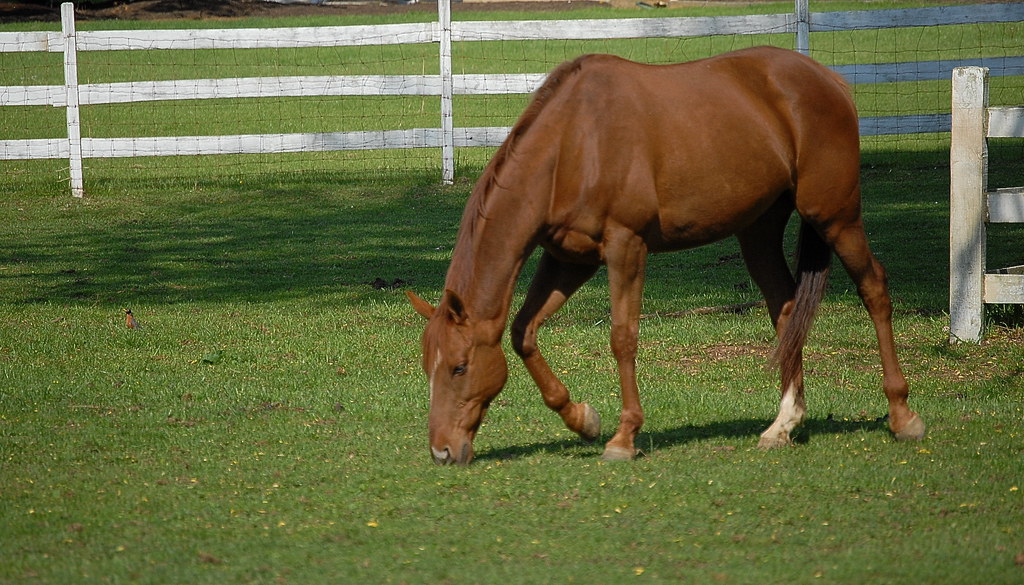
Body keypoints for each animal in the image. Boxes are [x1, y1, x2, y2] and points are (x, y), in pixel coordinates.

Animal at [407, 46, 926, 465]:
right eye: (428, 367)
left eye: (459, 367)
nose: (441, 451)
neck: (574, 143)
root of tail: (829, 79)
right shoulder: (570, 259)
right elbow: (522, 332)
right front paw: (582, 418)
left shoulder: (626, 247)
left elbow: (622, 338)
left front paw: (623, 437)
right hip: (758, 232)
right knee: (786, 309)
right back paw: (784, 423)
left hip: (835, 216)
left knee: (874, 289)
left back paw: (902, 415)